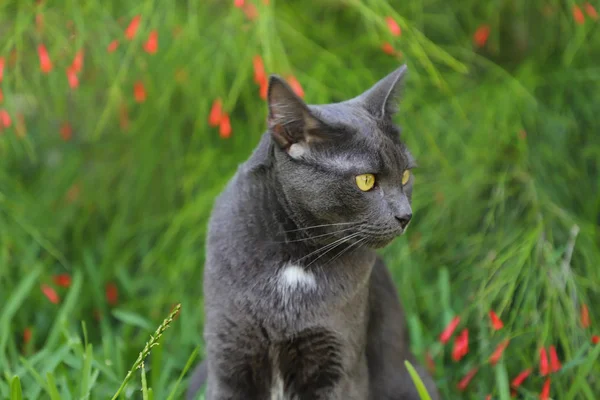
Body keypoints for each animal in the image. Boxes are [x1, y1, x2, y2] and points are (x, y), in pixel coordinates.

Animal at [188, 65, 440, 400]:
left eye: (405, 175)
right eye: (365, 181)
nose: (406, 215)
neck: (296, 256)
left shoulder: (338, 364)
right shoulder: (228, 355)